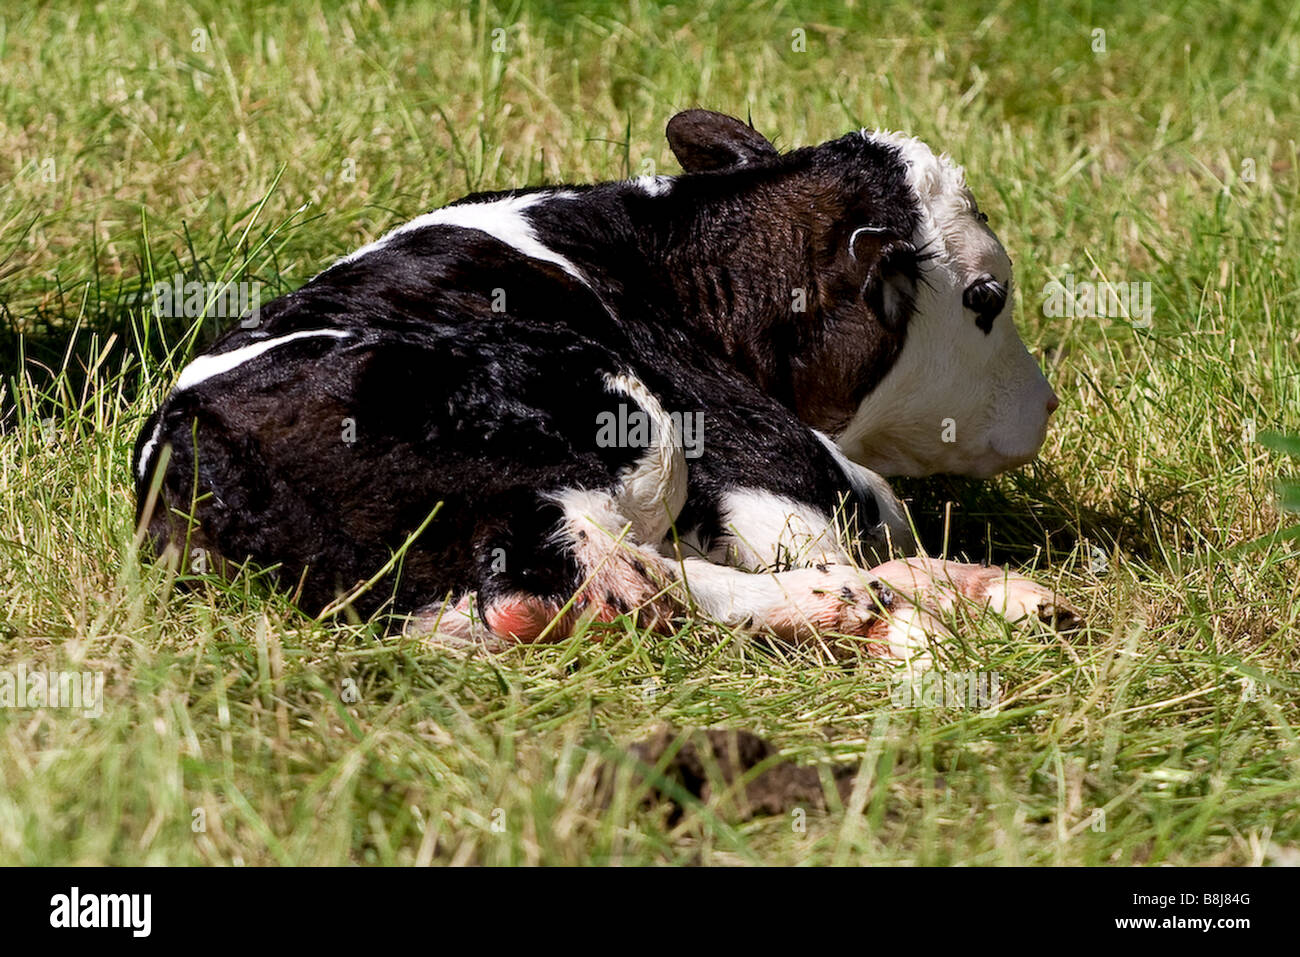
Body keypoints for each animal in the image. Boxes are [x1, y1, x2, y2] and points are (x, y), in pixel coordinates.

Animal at [131, 110, 1071, 657]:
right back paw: (850, 604)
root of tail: (189, 432)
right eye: (987, 298)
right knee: (573, 580)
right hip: (623, 418)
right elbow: (846, 517)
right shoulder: (761, 452)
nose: (1048, 404)